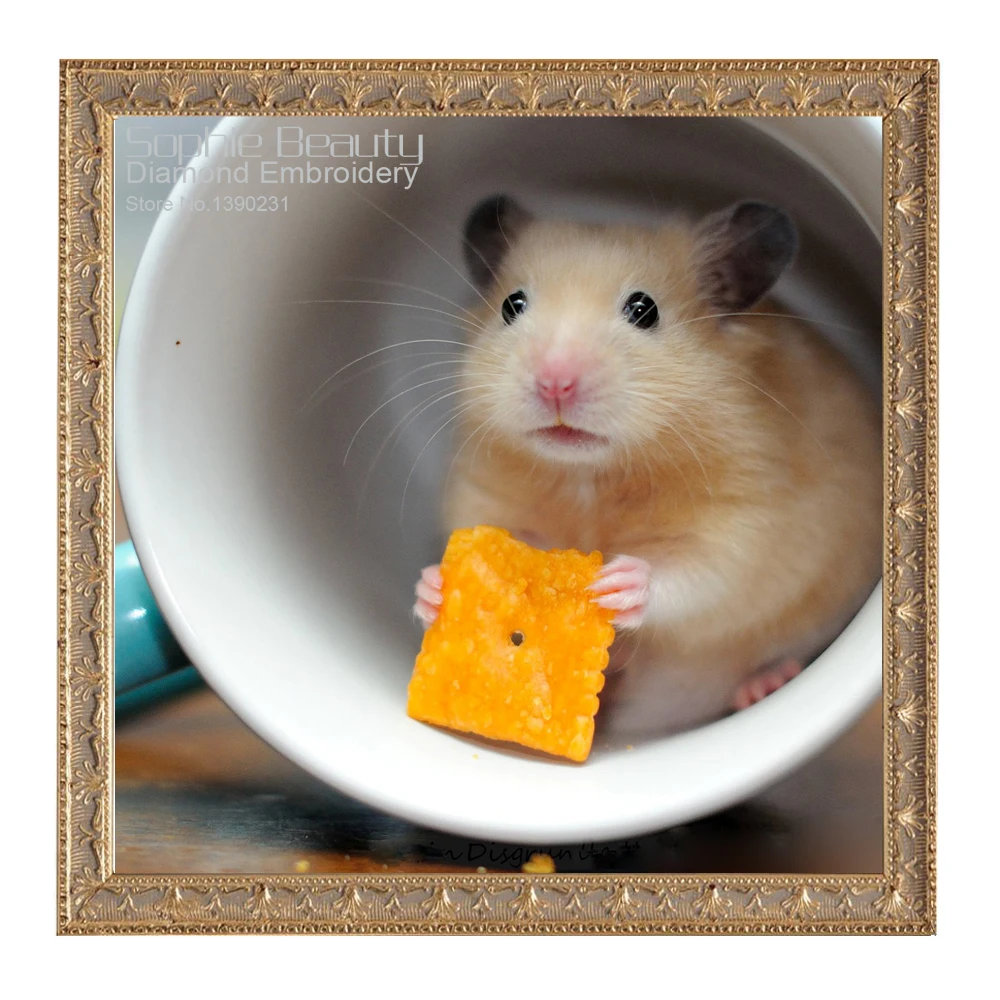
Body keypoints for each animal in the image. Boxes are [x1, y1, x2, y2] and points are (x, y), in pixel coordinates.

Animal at [412, 194, 882, 740]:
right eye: (512, 306)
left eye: (644, 311)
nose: (555, 383)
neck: (589, 475)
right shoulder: (483, 493)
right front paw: (434, 588)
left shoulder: (744, 520)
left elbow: (697, 573)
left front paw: (614, 582)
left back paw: (766, 683)